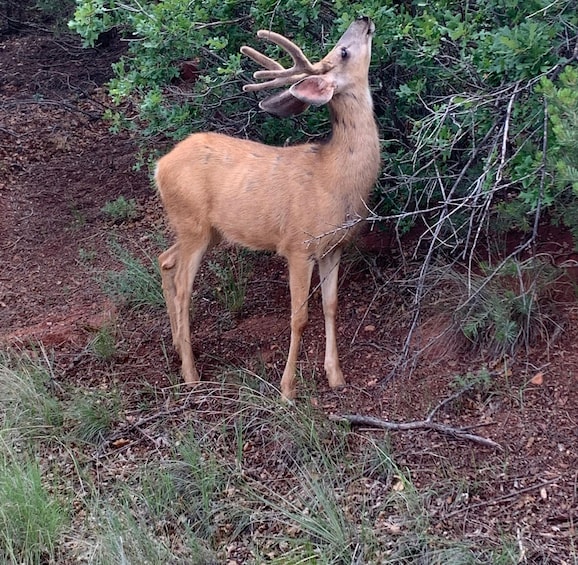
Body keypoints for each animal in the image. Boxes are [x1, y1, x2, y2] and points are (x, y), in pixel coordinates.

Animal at [158, 17, 380, 400]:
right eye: (343, 51)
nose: (363, 20)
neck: (335, 176)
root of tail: (159, 166)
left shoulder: (334, 247)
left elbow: (331, 307)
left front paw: (336, 376)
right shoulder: (298, 246)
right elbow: (299, 317)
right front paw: (287, 388)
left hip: (205, 230)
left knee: (165, 261)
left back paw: (177, 346)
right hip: (193, 224)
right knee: (185, 285)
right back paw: (191, 374)